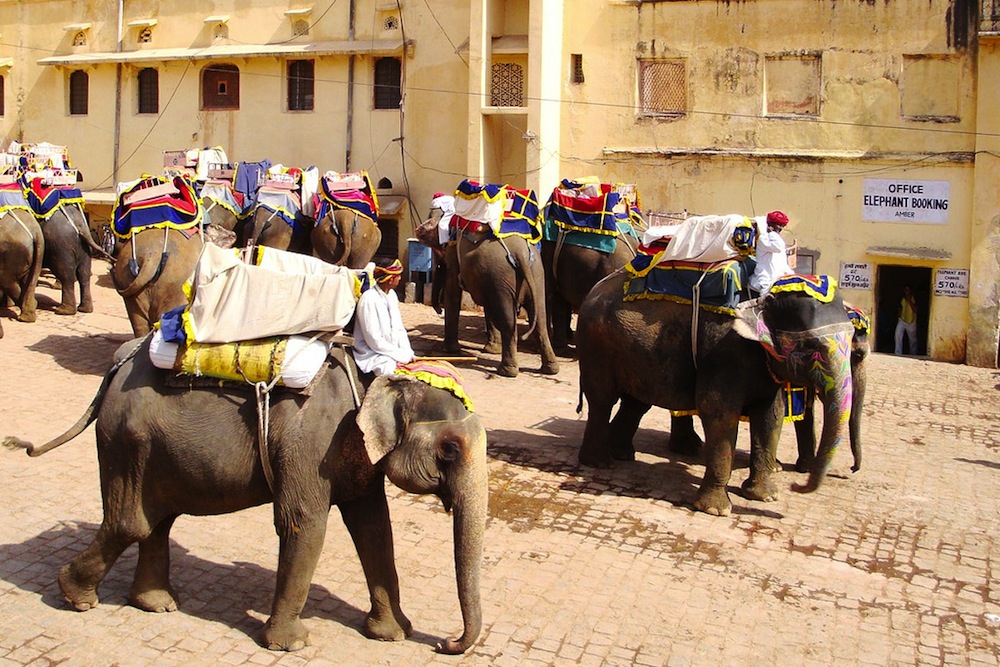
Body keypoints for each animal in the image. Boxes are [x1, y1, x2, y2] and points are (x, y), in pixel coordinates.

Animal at [580, 272, 860, 516]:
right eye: (811, 346)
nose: (796, 485)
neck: (762, 301)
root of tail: (594, 289)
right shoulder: (724, 352)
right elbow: (718, 412)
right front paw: (716, 509)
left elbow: (772, 415)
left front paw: (765, 496)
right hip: (598, 346)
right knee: (602, 400)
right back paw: (600, 462)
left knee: (635, 403)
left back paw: (623, 455)